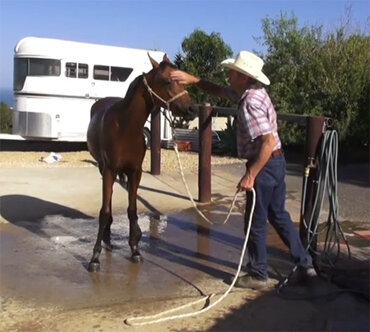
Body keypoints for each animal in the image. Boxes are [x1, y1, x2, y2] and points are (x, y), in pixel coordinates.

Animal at [86, 53, 197, 272]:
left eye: (181, 80)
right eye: (167, 81)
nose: (191, 109)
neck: (125, 128)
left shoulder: (135, 172)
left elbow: (132, 210)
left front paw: (135, 249)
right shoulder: (110, 169)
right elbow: (104, 212)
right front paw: (95, 257)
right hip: (104, 169)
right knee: (108, 203)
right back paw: (106, 240)